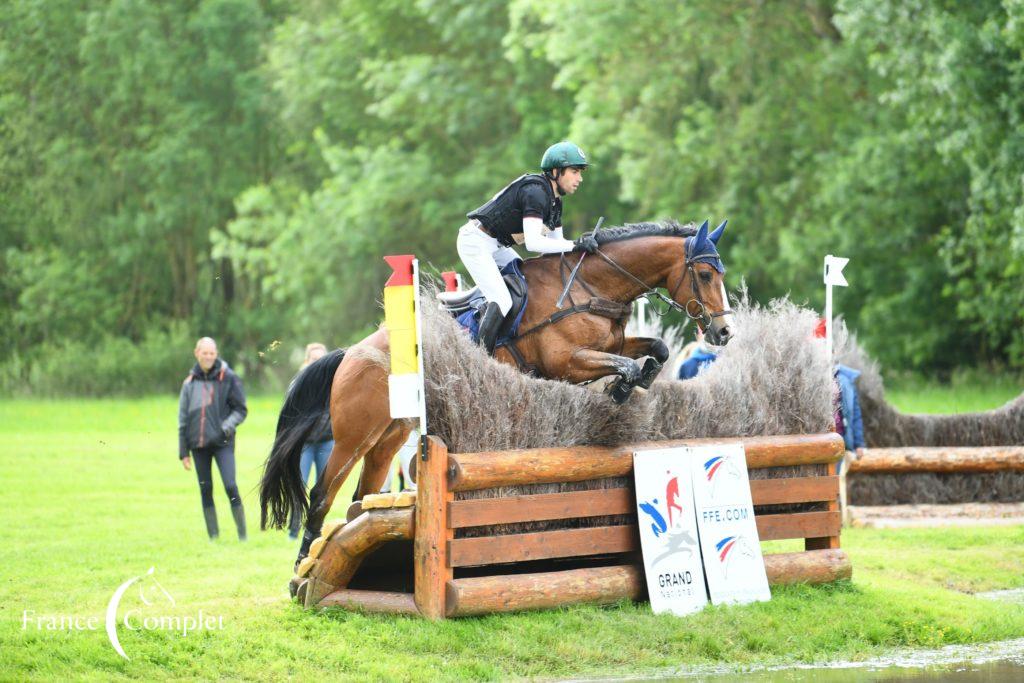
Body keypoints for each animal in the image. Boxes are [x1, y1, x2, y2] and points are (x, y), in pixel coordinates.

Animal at [260, 219, 733, 565]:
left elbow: (656, 352)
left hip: (389, 436)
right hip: (354, 435)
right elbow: (629, 366)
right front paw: (619, 390)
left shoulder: (612, 344)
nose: (724, 332)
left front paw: (633, 383)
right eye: (704, 274)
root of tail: (351, 353)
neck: (591, 288)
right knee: (322, 495)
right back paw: (301, 565)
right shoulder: (567, 361)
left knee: (362, 497)